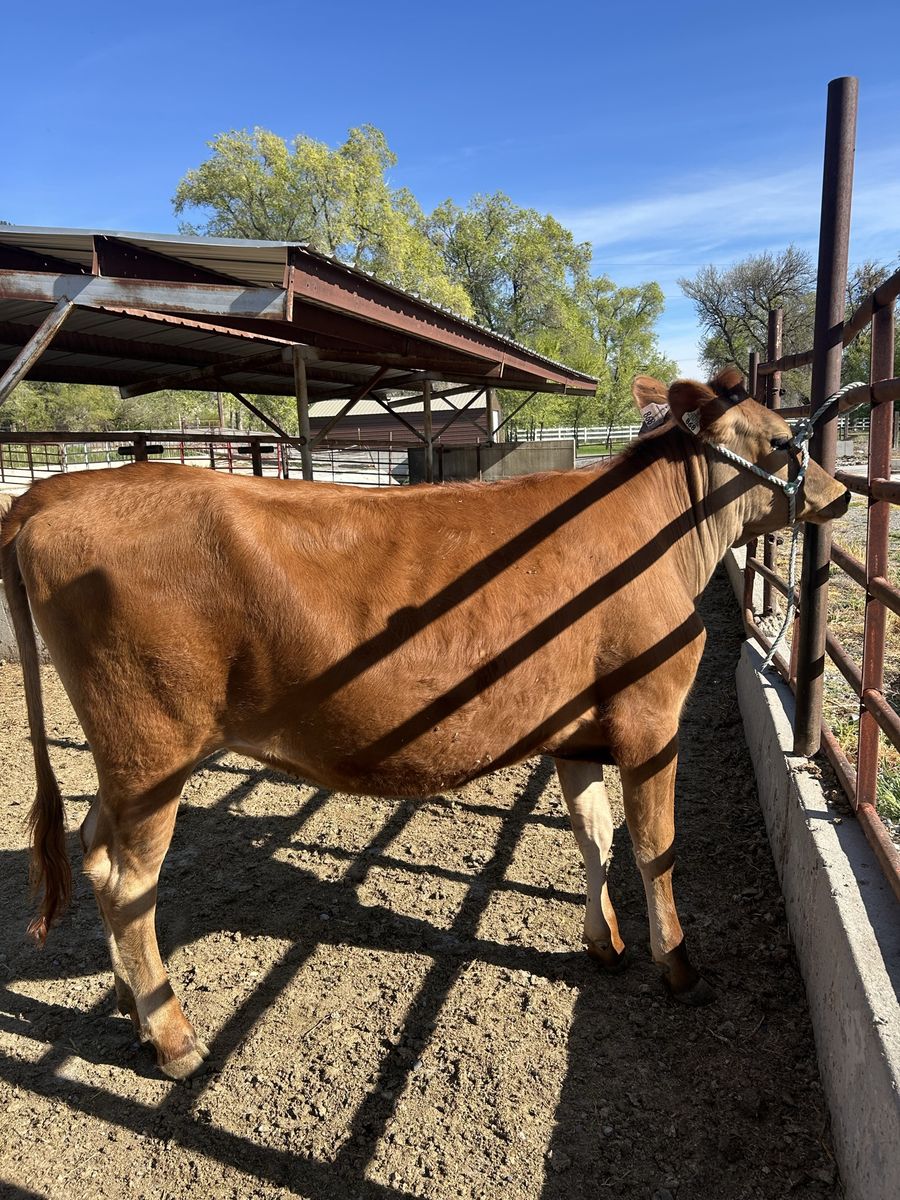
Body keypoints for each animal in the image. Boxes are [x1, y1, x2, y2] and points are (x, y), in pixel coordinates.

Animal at [1, 368, 849, 1079]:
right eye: (781, 438)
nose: (839, 494)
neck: (663, 535)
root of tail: (59, 492)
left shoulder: (578, 731)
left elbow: (594, 833)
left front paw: (602, 942)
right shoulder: (650, 716)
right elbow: (655, 848)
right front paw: (677, 964)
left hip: (125, 760)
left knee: (92, 846)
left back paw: (129, 1006)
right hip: (153, 749)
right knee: (129, 882)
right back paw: (173, 1037)